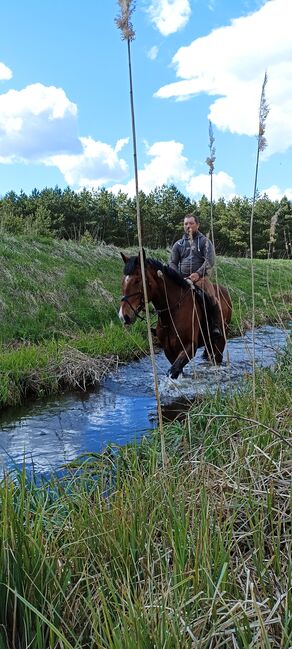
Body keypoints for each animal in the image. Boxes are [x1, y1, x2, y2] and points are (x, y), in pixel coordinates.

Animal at [117, 249, 232, 380]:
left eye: (137, 280)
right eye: (123, 281)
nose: (124, 316)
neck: (173, 312)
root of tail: (224, 291)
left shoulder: (189, 347)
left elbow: (173, 371)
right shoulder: (169, 351)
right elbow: (176, 371)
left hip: (221, 339)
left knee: (217, 358)